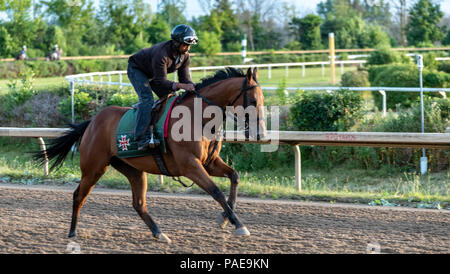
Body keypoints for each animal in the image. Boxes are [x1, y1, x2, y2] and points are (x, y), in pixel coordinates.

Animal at [37, 67, 268, 243]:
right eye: (253, 101)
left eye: (263, 100)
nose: (262, 134)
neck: (197, 118)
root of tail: (92, 123)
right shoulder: (190, 165)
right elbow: (216, 191)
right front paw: (238, 224)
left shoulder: (209, 162)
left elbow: (234, 176)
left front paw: (225, 218)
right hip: (93, 167)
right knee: (79, 195)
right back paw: (72, 232)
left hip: (133, 170)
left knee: (138, 203)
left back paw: (159, 233)